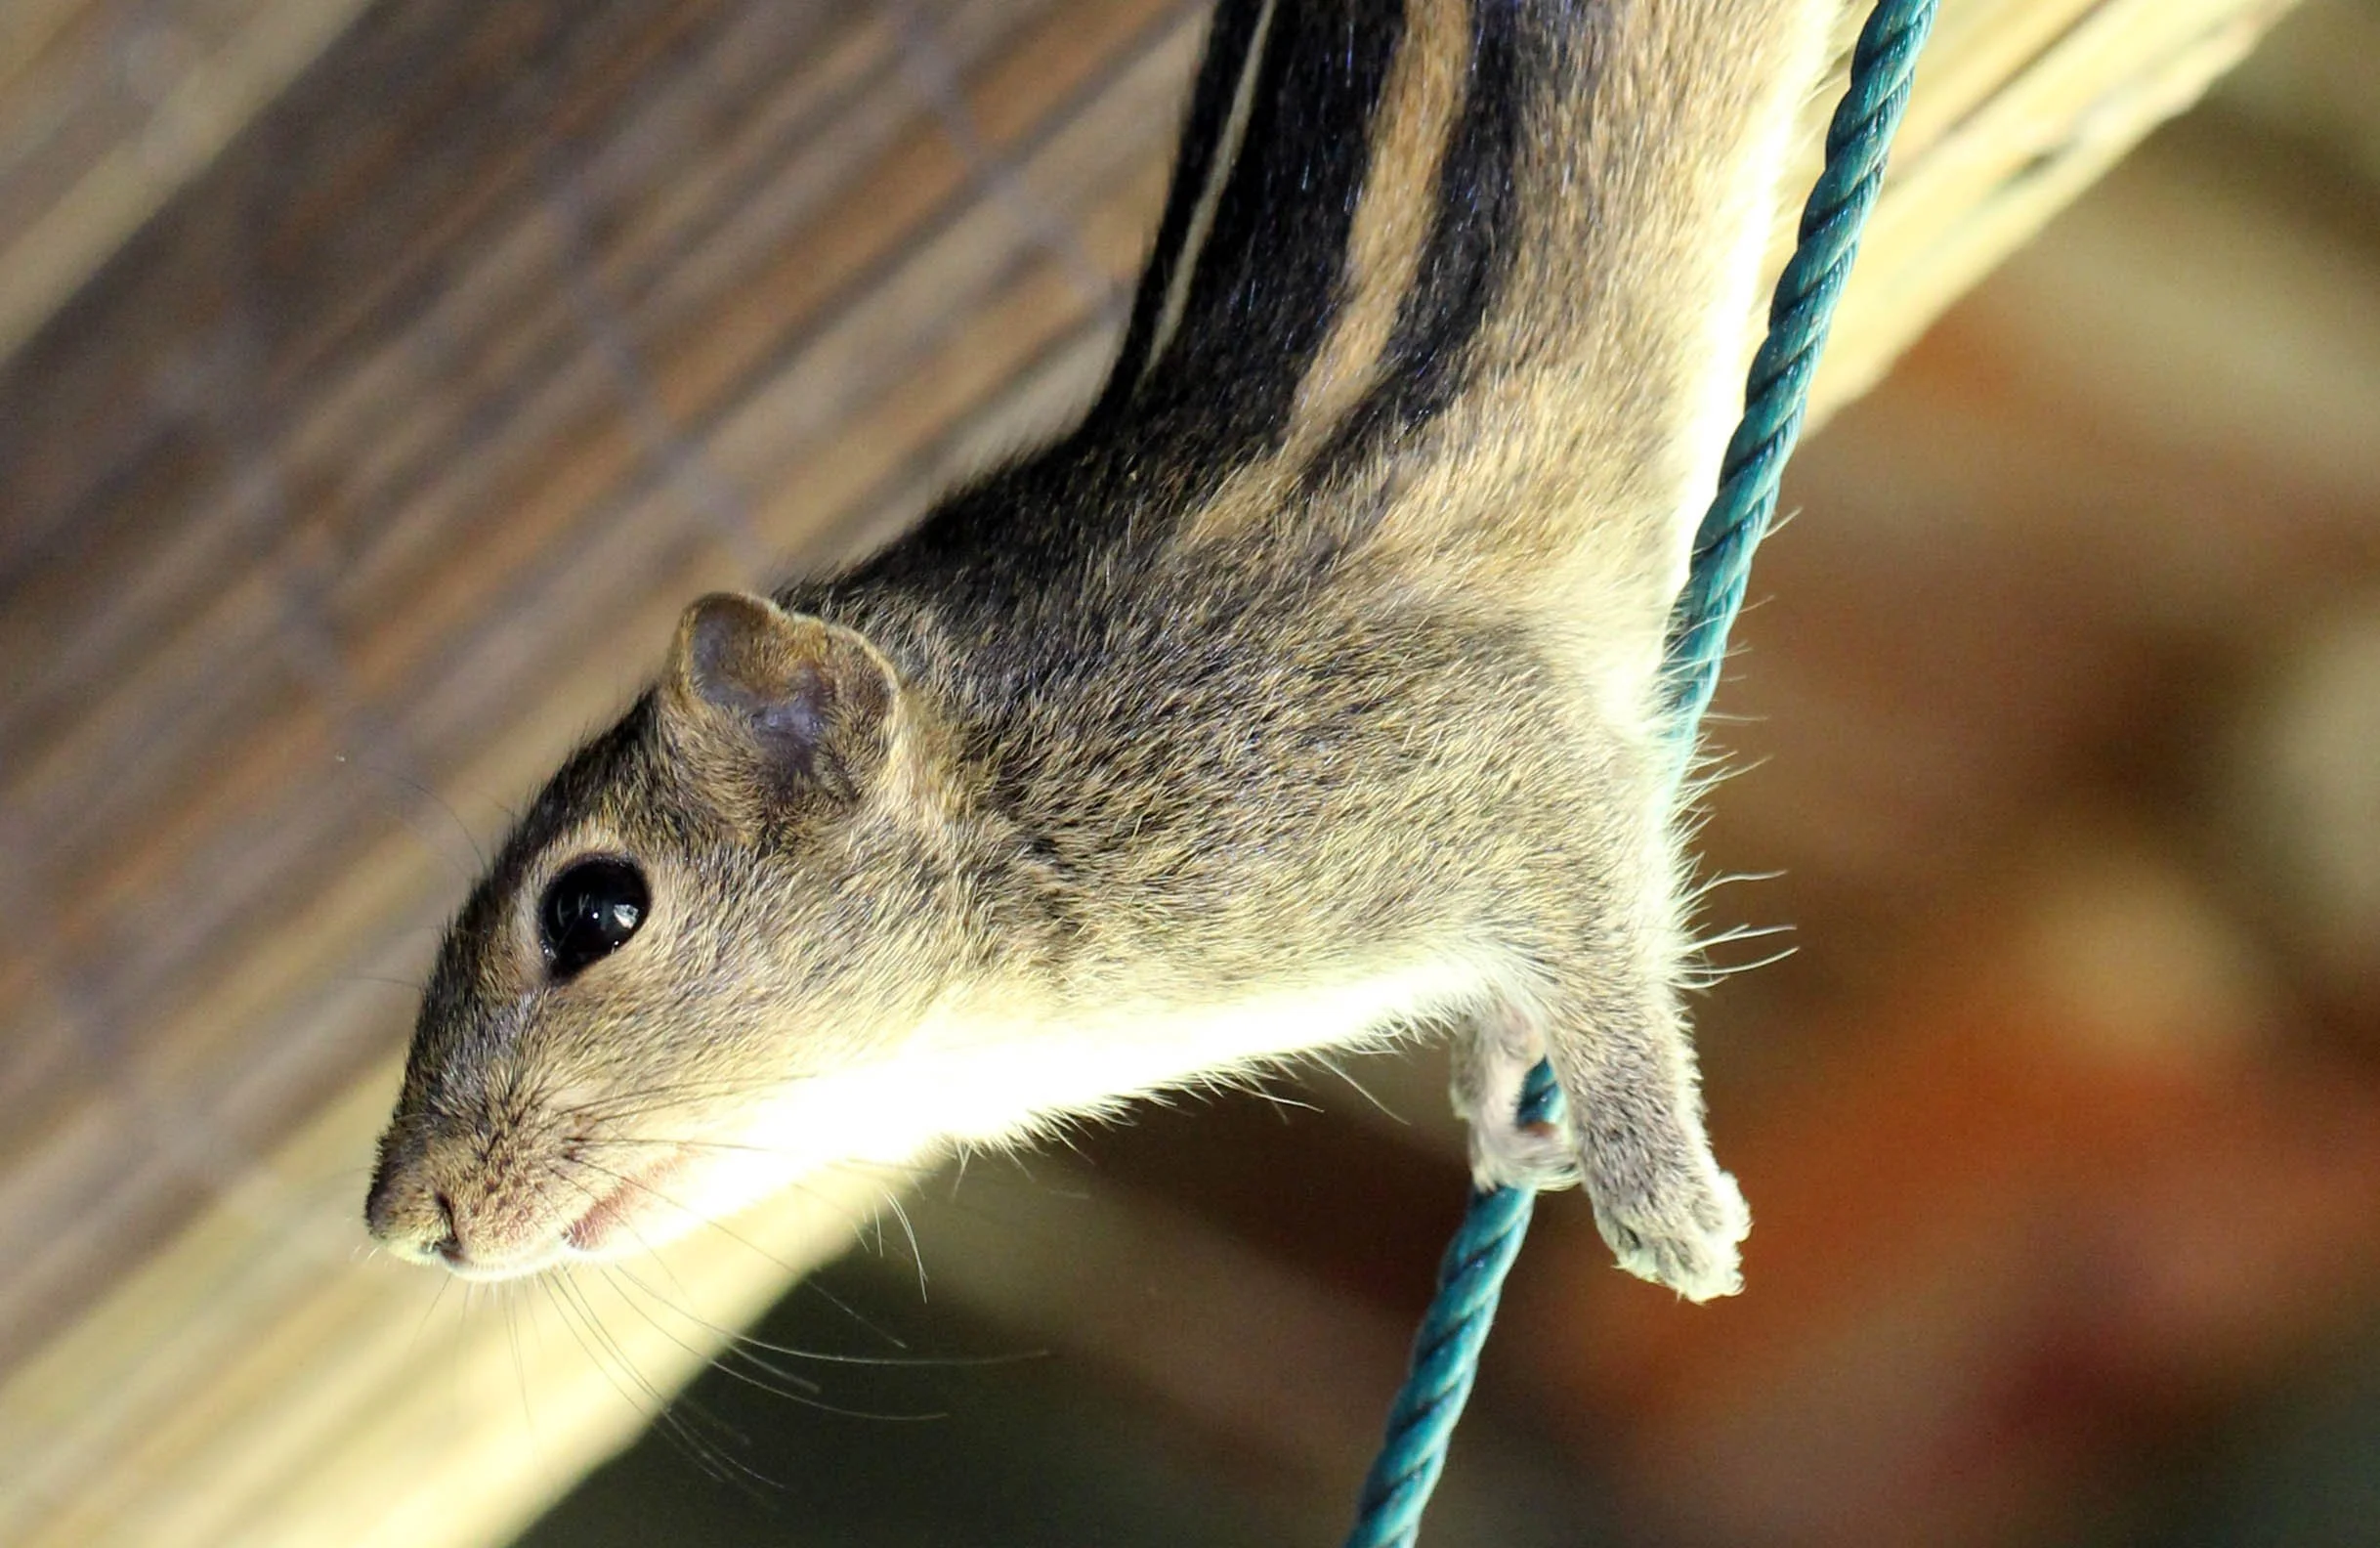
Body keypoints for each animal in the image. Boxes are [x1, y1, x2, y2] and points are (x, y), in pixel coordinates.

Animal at [366, 0, 1840, 1303]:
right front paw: (1504, 1112)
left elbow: (1602, 931)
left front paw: (1662, 1195)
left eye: (592, 911)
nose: (399, 1221)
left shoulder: (1491, 750)